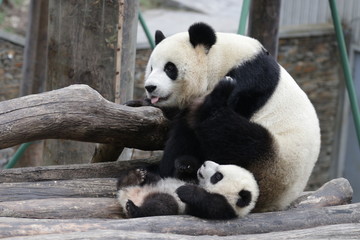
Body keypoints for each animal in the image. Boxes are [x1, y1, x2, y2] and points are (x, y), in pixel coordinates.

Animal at [128, 22, 320, 212]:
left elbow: (190, 132)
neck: (224, 60)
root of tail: (276, 203)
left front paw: (166, 168)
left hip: (273, 162)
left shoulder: (247, 82)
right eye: (151, 67)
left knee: (236, 137)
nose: (150, 87)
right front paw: (140, 103)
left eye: (169, 68)